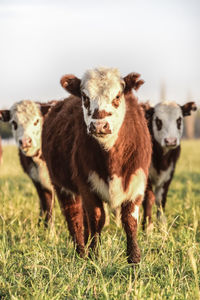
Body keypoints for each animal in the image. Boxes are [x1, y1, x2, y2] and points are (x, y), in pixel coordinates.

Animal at [42, 67, 152, 262]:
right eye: (85, 97)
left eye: (117, 96)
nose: (99, 126)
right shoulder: (86, 184)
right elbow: (97, 218)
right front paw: (94, 256)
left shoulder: (137, 182)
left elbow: (130, 220)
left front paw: (134, 259)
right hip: (62, 187)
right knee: (75, 218)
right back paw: (80, 253)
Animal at [142, 101, 197, 230]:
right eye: (158, 121)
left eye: (179, 120)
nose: (170, 141)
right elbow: (149, 198)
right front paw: (147, 227)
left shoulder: (169, 174)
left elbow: (160, 199)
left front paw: (162, 226)